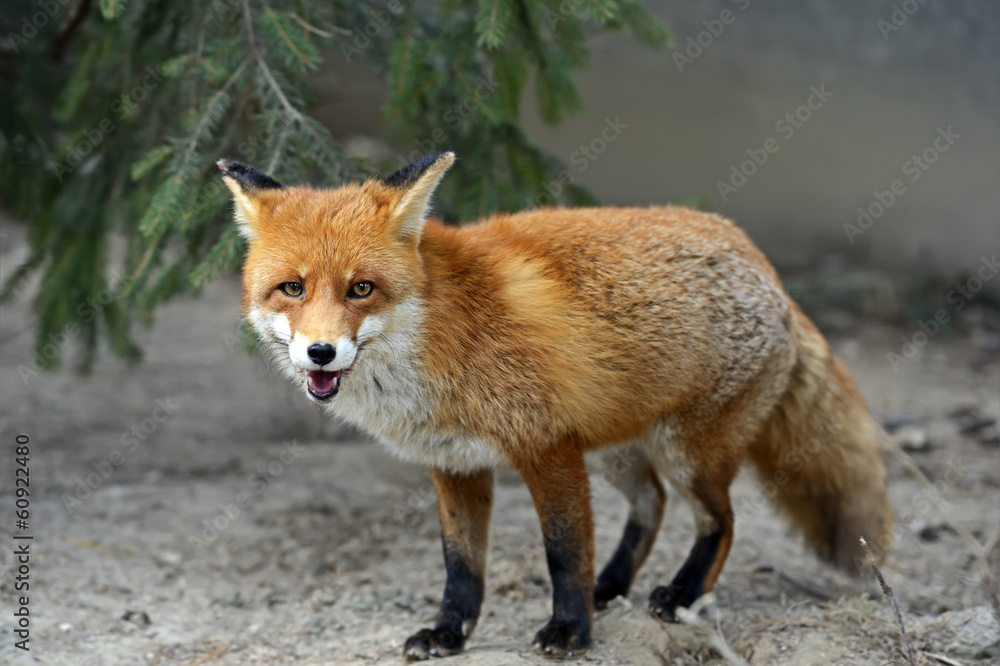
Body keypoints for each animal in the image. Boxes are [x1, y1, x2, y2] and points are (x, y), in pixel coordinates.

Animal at [218, 152, 893, 660]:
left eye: (361, 288)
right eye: (292, 288)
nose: (320, 352)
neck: (440, 337)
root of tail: (765, 266)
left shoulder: (547, 447)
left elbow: (564, 551)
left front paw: (570, 630)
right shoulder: (455, 464)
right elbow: (462, 565)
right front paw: (449, 632)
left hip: (688, 453)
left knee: (720, 522)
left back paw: (677, 595)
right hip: (619, 450)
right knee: (652, 504)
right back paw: (612, 586)